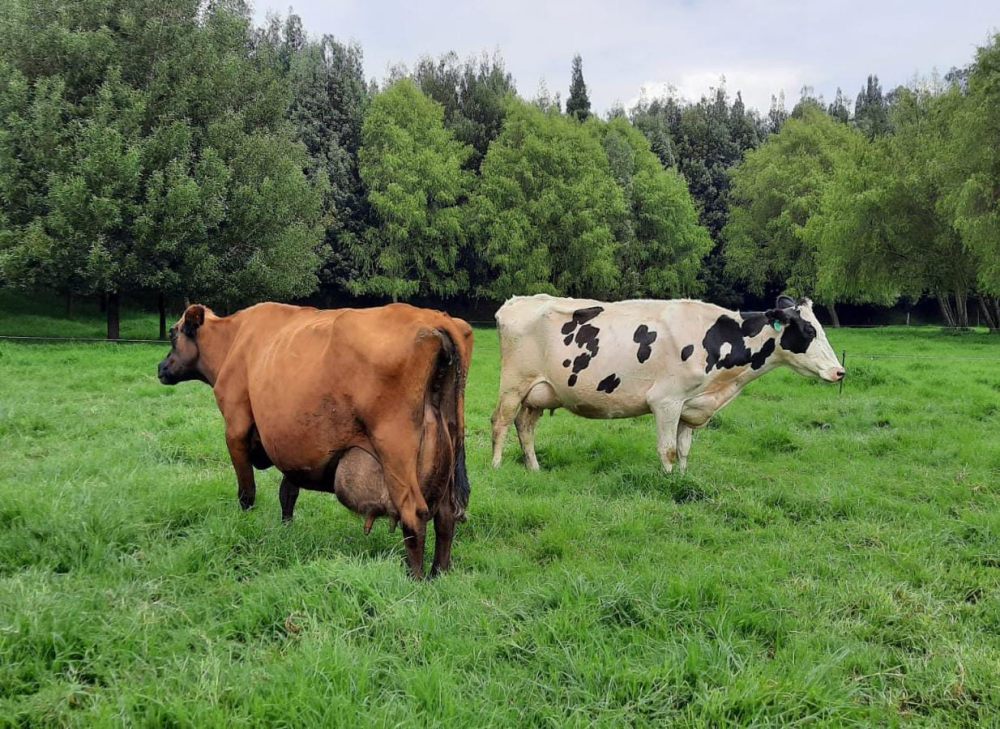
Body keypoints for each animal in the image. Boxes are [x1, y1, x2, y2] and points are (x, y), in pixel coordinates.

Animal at [157, 300, 476, 576]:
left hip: (395, 450)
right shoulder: (292, 447)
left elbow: (247, 493)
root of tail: (434, 319)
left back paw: (415, 579)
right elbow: (288, 492)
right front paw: (285, 531)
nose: (160, 368)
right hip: (446, 451)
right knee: (446, 516)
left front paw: (245, 525)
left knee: (414, 515)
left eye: (173, 334)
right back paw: (439, 574)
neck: (234, 339)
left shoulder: (235, 429)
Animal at [492, 294, 844, 472]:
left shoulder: (692, 405)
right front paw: (668, 481)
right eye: (809, 330)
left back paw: (534, 469)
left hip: (540, 392)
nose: (839, 372)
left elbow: (685, 450)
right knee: (501, 422)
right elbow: (669, 450)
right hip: (513, 384)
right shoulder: (666, 401)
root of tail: (516, 301)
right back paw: (496, 467)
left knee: (525, 426)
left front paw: (684, 480)